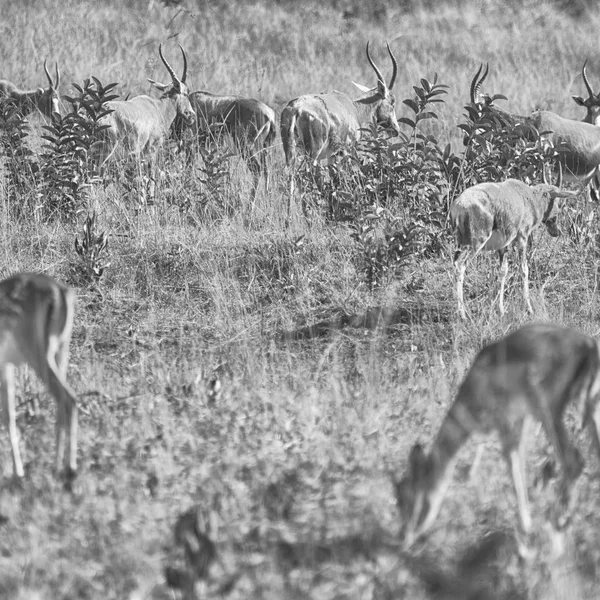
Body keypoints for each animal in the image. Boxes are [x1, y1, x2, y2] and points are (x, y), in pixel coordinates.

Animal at [0, 272, 78, 478]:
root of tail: (60, 291)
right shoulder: (5, 367)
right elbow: (9, 415)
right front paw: (17, 472)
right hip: (60, 354)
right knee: (62, 405)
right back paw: (56, 467)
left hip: (39, 358)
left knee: (69, 399)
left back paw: (69, 469)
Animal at [278, 41, 400, 218]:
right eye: (392, 102)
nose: (396, 129)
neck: (353, 108)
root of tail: (296, 109)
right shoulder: (345, 151)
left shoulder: (331, 155)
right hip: (312, 153)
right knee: (304, 176)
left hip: (291, 151)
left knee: (290, 175)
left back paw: (289, 218)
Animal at [396, 324, 600, 548]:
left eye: (408, 495)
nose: (404, 537)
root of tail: (589, 345)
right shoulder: (521, 423)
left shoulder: (508, 424)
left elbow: (513, 467)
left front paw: (525, 528)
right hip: (589, 410)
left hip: (549, 412)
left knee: (573, 461)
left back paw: (556, 523)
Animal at [450, 166, 576, 322]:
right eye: (559, 203)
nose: (556, 232)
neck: (526, 197)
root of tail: (459, 205)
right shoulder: (522, 237)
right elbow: (524, 269)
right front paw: (529, 309)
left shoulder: (503, 245)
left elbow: (503, 271)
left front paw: (501, 310)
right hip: (476, 242)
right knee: (460, 265)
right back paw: (462, 315)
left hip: (460, 242)